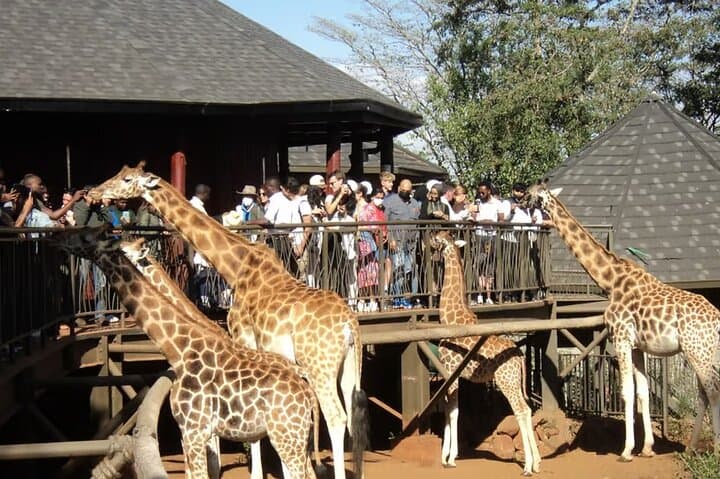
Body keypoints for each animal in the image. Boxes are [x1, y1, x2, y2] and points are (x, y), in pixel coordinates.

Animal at [52, 227, 317, 479]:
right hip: (291, 435)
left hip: (287, 436)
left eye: (85, 237)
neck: (179, 349)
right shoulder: (195, 431)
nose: (58, 238)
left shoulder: (194, 429)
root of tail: (306, 389)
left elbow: (204, 470)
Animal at [88, 162, 368, 479]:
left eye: (126, 179)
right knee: (349, 417)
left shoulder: (243, 336)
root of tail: (350, 324)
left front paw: (256, 473)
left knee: (335, 417)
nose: (93, 193)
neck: (236, 266)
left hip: (319, 365)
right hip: (348, 367)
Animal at [429, 230, 540, 475]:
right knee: (528, 409)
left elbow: (453, 411)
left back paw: (527, 466)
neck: (449, 318)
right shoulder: (452, 374)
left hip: (506, 380)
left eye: (438, 238)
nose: (429, 240)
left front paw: (449, 458)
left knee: (521, 410)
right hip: (515, 381)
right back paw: (537, 462)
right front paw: (446, 456)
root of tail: (520, 356)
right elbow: (451, 410)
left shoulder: (450, 370)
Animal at [524, 181, 720, 460]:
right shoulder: (638, 346)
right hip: (704, 351)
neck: (610, 280)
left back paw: (715, 448)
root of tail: (716, 318)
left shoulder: (621, 337)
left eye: (532, 195)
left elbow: (627, 392)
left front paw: (626, 450)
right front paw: (647, 448)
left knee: (712, 391)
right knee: (704, 392)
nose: (520, 199)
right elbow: (643, 393)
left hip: (696, 350)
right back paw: (691, 448)